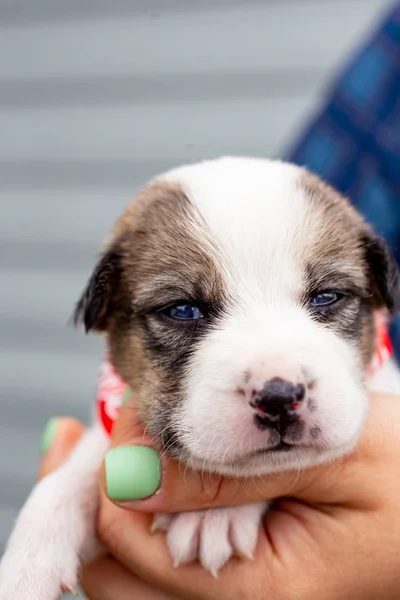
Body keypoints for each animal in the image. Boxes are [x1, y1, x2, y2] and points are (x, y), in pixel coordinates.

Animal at [0, 157, 400, 596]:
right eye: (182, 310)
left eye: (327, 296)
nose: (279, 396)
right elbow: (75, 474)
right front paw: (27, 563)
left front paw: (214, 516)